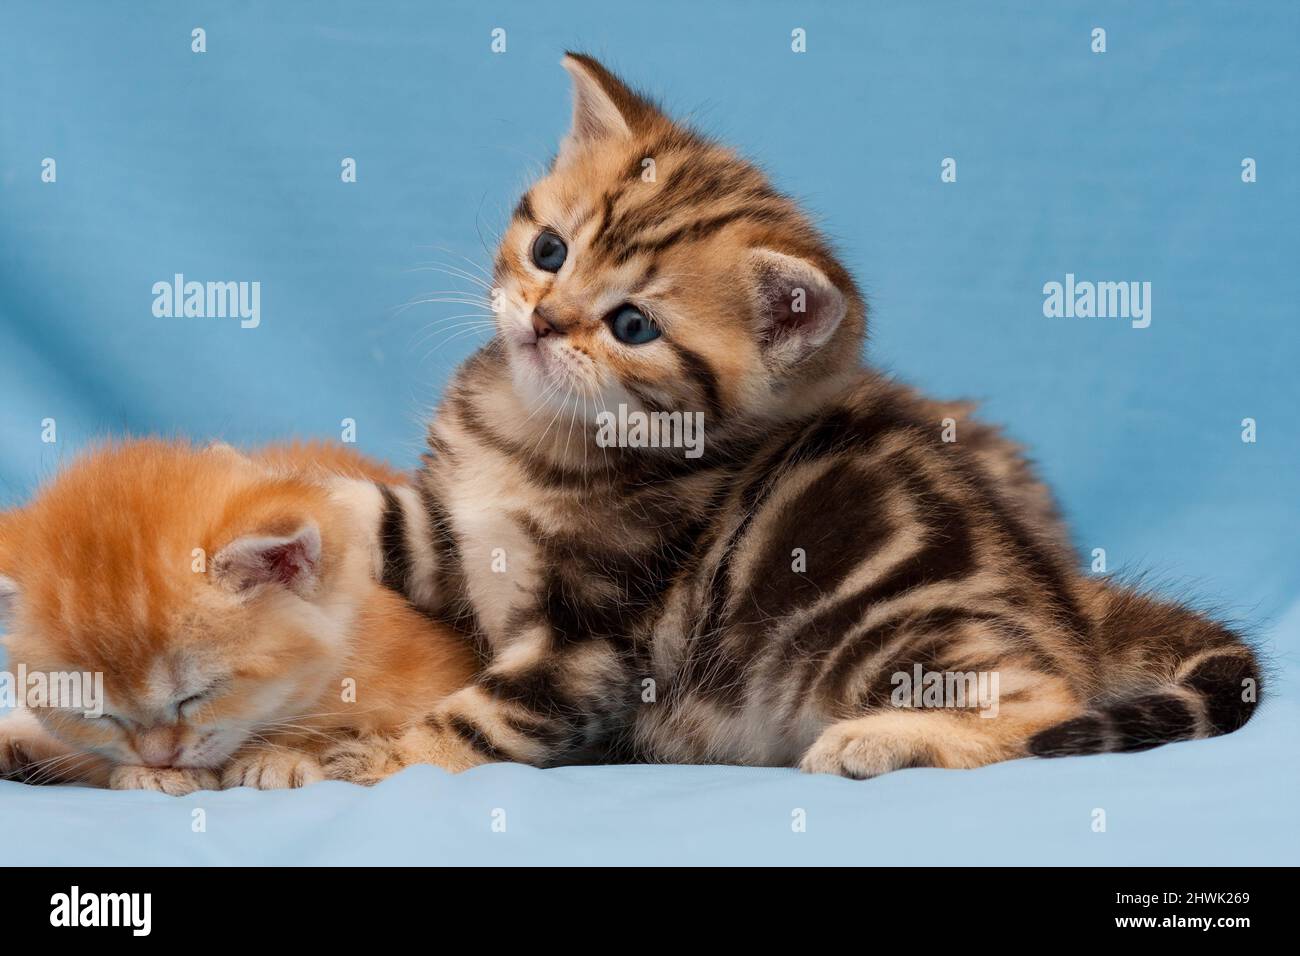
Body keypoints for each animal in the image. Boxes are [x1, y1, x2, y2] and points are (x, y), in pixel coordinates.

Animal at [332, 55, 1258, 780]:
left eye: (632, 326)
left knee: (1046, 702)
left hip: (879, 623)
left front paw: (368, 763)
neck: (527, 435)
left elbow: (477, 721)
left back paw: (881, 739)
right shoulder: (454, 535)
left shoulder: (591, 648)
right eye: (549, 250)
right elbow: (384, 519)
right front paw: (307, 511)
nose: (544, 321)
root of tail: (1064, 595)